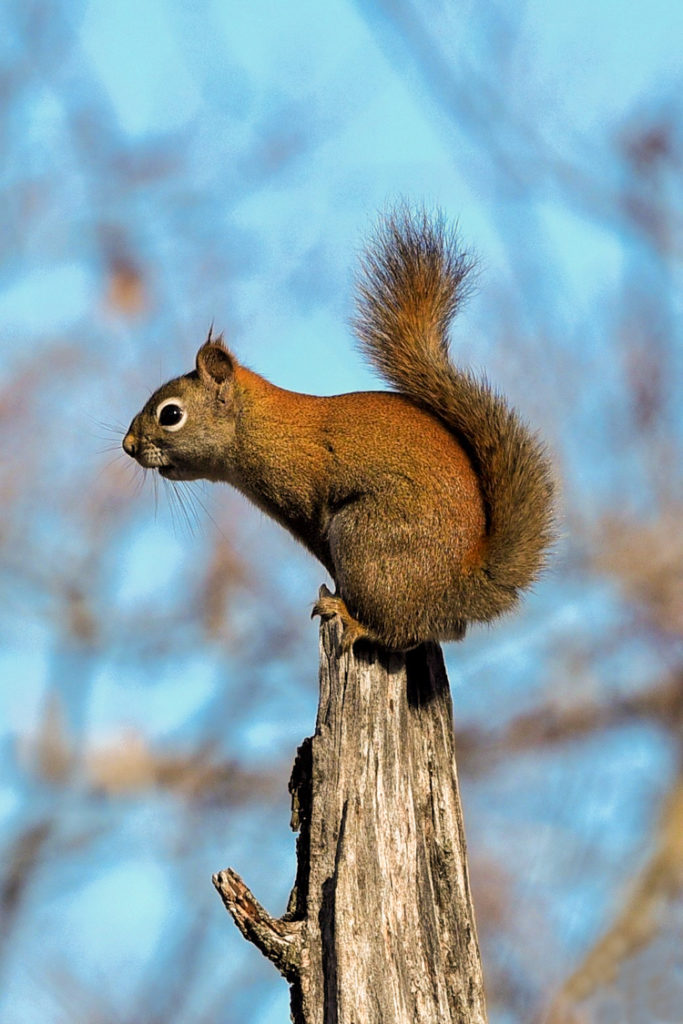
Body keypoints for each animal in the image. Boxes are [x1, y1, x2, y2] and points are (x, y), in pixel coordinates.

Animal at [122, 209, 557, 647]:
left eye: (170, 415)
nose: (128, 445)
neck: (259, 427)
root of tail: (459, 588)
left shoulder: (304, 502)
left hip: (364, 536)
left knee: (401, 631)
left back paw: (353, 618)